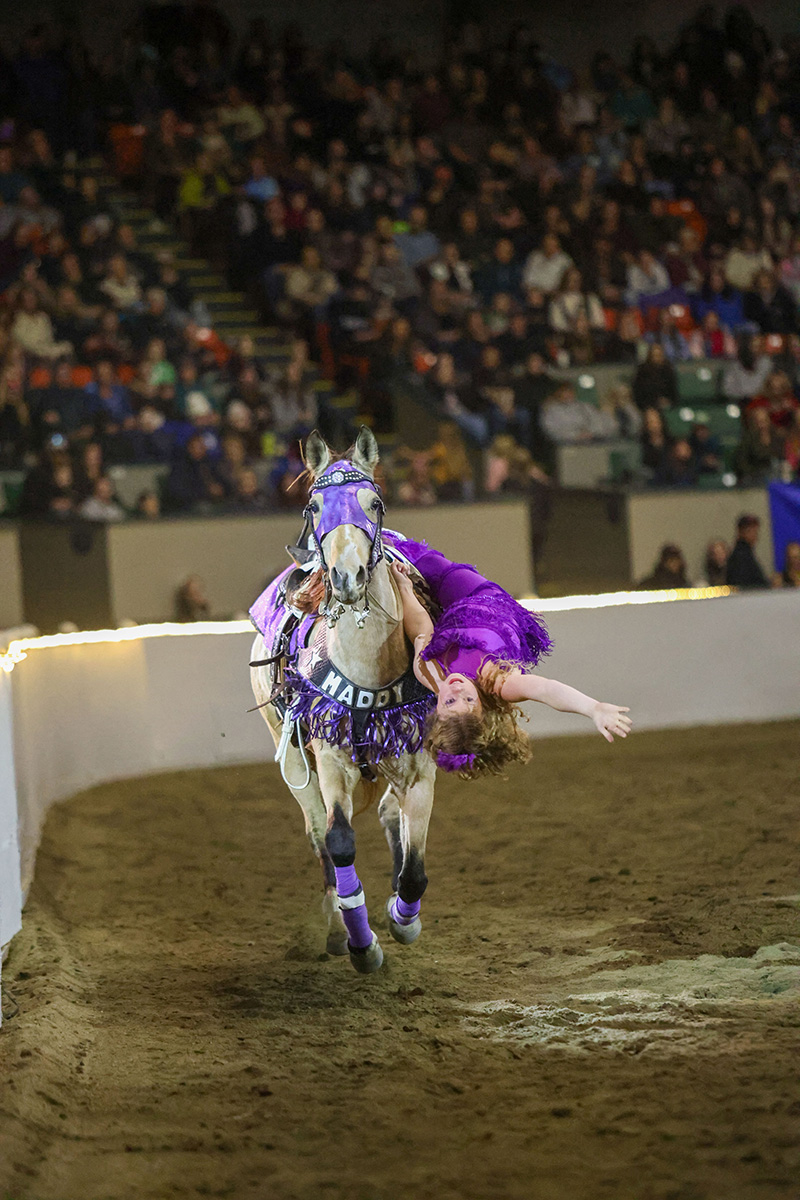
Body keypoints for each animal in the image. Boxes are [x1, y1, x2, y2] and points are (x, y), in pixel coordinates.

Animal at [250, 432, 438, 974]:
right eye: (314, 507)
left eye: (373, 502)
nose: (347, 576)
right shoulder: (331, 761)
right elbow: (339, 842)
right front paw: (361, 944)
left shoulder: (419, 764)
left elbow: (415, 870)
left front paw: (402, 918)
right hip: (293, 757)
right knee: (319, 836)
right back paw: (337, 926)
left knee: (391, 815)